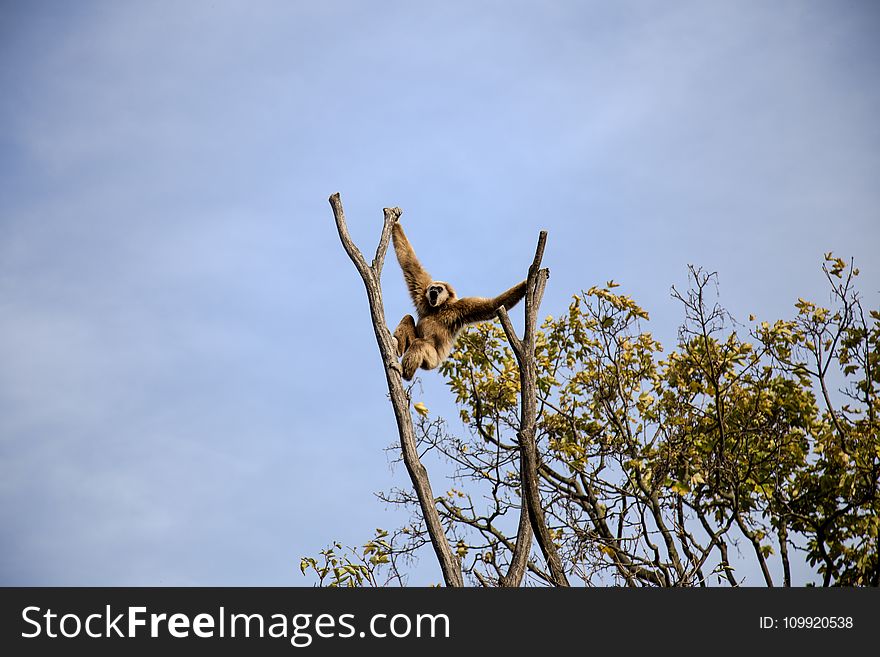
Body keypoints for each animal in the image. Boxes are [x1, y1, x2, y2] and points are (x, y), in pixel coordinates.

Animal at [390, 219, 524, 380]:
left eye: (439, 289)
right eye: (432, 288)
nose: (433, 291)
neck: (439, 308)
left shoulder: (460, 308)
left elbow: (492, 306)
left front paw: (528, 281)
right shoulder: (422, 295)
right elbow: (409, 263)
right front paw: (395, 221)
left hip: (431, 360)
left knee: (419, 344)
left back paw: (406, 374)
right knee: (408, 318)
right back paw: (396, 346)